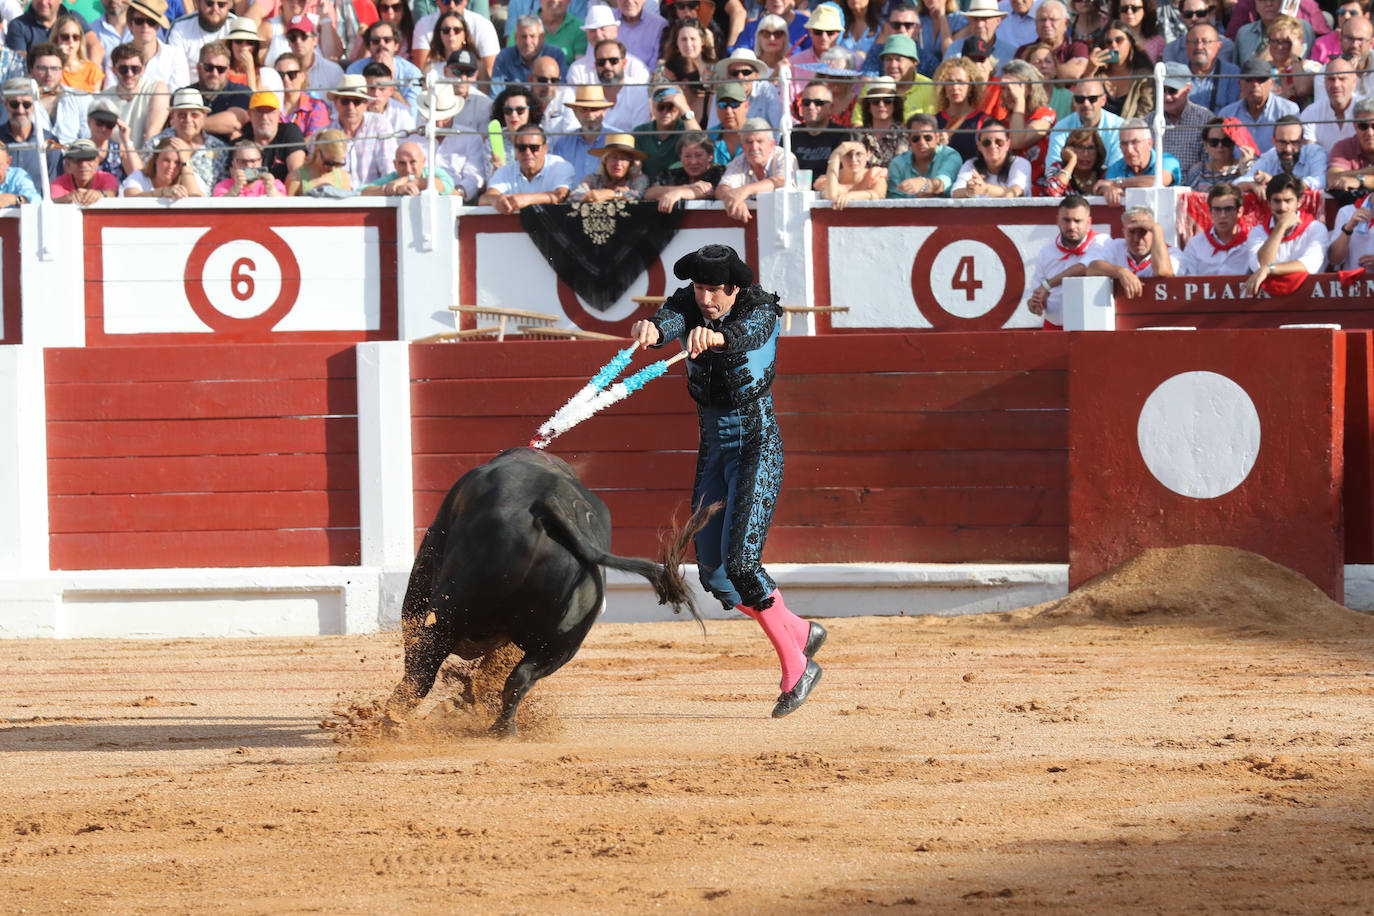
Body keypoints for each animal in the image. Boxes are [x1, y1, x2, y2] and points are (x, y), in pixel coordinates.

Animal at [381, 444, 714, 736]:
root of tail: (551, 504)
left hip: (449, 610)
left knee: (421, 671)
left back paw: (391, 723)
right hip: (562, 643)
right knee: (519, 678)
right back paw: (500, 730)